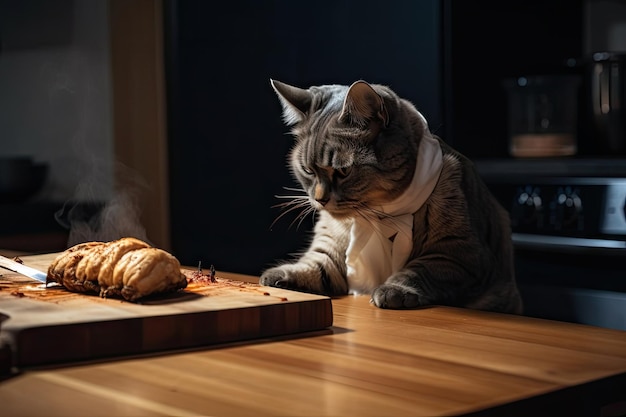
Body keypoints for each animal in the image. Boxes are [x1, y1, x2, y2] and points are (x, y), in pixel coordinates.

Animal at [258, 78, 520, 314]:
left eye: (343, 171)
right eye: (308, 170)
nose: (320, 199)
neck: (378, 214)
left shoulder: (460, 254)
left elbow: (419, 270)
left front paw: (395, 290)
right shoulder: (331, 246)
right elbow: (316, 263)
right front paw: (282, 274)